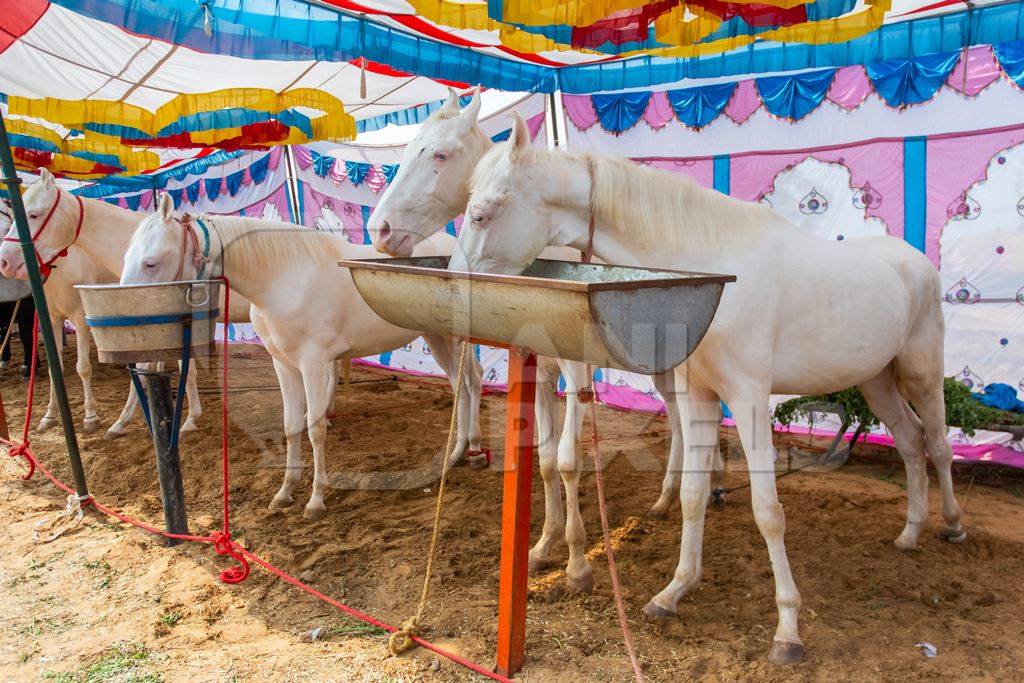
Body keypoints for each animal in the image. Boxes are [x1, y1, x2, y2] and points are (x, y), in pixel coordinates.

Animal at [117, 197, 485, 518]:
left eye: (150, 262)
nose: (124, 316)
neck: (282, 278)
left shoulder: (314, 364)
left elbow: (315, 428)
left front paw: (316, 500)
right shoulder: (283, 363)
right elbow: (292, 425)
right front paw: (285, 492)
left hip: (453, 338)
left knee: (471, 379)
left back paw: (468, 449)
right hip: (436, 337)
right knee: (459, 384)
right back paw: (457, 453)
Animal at [364, 89, 692, 593]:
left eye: (440, 154)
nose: (379, 231)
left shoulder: (576, 372)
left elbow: (570, 459)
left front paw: (577, 563)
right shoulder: (539, 367)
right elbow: (545, 458)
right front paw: (544, 544)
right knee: (677, 419)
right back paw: (667, 498)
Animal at [452, 113, 962, 663]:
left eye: (480, 214)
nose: (457, 293)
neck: (718, 273)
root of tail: (916, 262)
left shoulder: (749, 400)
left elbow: (768, 511)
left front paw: (787, 630)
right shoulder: (699, 396)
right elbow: (693, 495)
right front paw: (674, 591)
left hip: (921, 372)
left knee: (937, 443)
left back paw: (952, 525)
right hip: (875, 381)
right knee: (909, 441)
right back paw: (910, 532)